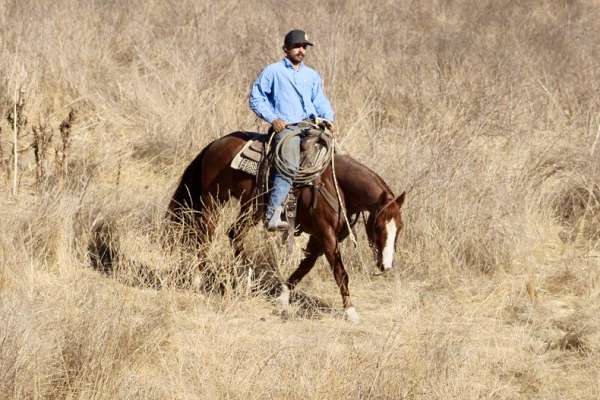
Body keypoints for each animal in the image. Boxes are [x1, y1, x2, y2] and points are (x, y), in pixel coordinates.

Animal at [166, 131, 406, 322]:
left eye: (400, 228)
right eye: (378, 227)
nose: (386, 265)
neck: (336, 185)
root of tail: (216, 143)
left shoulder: (320, 237)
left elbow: (305, 266)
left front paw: (282, 297)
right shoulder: (326, 234)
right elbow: (340, 272)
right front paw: (351, 312)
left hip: (251, 208)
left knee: (234, 234)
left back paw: (247, 278)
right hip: (213, 200)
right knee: (206, 235)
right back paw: (199, 279)